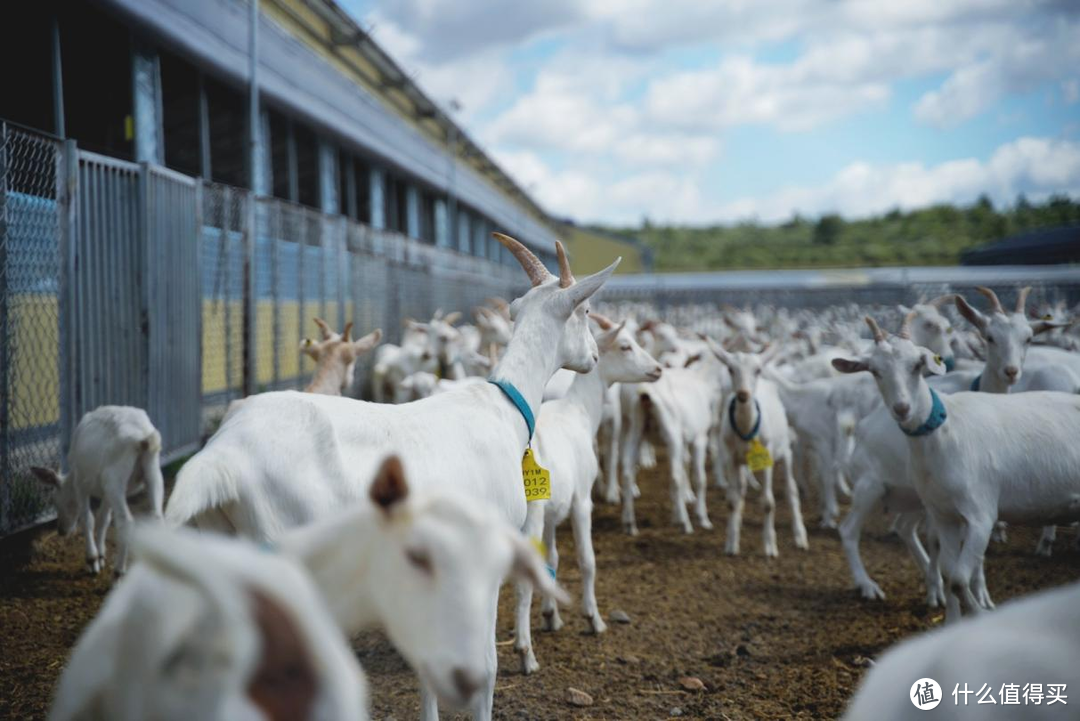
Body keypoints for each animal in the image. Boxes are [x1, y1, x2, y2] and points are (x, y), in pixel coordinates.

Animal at [33, 405, 164, 574]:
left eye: (55, 501)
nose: (61, 530)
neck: (71, 477)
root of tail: (143, 438)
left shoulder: (81, 484)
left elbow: (88, 519)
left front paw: (92, 561)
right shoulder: (106, 493)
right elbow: (103, 519)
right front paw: (101, 556)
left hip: (114, 478)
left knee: (126, 521)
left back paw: (119, 571)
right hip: (152, 472)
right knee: (157, 517)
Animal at [511, 313, 660, 673]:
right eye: (625, 345)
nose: (658, 369)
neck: (579, 412)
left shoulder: (553, 512)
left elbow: (552, 558)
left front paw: (551, 616)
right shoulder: (580, 500)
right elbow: (587, 559)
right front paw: (594, 619)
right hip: (529, 515)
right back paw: (526, 654)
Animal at [833, 317, 1080, 626]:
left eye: (917, 364)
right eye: (875, 371)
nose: (902, 408)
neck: (946, 430)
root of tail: (863, 426)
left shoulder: (975, 514)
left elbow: (957, 576)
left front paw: (970, 614)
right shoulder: (954, 514)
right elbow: (955, 575)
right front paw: (965, 618)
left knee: (896, 529)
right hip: (871, 485)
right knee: (851, 530)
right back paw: (869, 586)